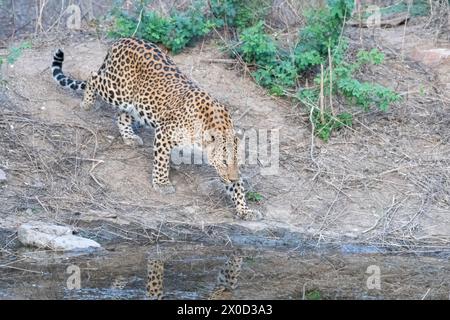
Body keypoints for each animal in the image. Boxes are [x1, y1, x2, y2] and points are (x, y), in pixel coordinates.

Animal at [51, 37, 264, 221]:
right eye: (224, 161)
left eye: (237, 162)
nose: (232, 177)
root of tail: (122, 40)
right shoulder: (164, 133)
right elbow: (161, 162)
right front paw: (162, 184)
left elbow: (238, 189)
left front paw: (245, 210)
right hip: (119, 90)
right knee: (93, 77)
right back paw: (87, 104)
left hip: (136, 103)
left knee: (122, 115)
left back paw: (129, 137)